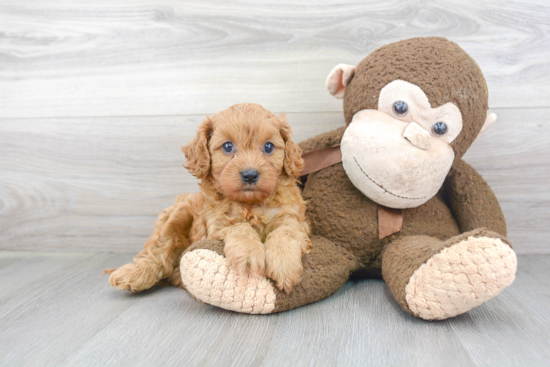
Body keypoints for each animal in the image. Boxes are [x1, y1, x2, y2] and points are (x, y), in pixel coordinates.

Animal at [103, 103, 310, 294]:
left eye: (268, 147)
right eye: (228, 146)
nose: (250, 175)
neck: (249, 204)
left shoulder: (294, 221)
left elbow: (285, 232)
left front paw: (284, 264)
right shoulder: (215, 227)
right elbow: (238, 227)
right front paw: (248, 254)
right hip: (178, 214)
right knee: (159, 251)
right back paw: (135, 275)